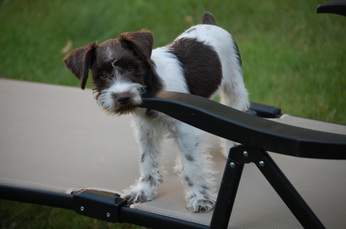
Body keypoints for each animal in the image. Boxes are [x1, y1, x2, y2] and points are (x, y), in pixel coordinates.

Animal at [64, 12, 249, 213]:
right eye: (103, 74)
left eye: (131, 67)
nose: (123, 97)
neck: (153, 87)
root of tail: (209, 23)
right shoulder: (146, 130)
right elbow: (147, 161)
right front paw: (144, 191)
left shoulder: (184, 128)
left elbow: (192, 165)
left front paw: (200, 199)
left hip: (234, 86)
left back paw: (231, 147)